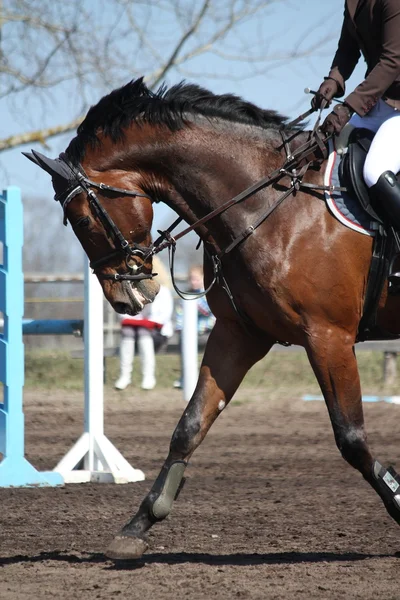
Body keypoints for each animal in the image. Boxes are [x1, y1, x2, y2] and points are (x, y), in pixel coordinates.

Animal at [23, 77, 400, 560]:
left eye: (83, 219)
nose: (126, 298)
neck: (269, 202)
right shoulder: (238, 335)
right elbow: (189, 426)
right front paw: (137, 526)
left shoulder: (328, 337)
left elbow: (351, 438)